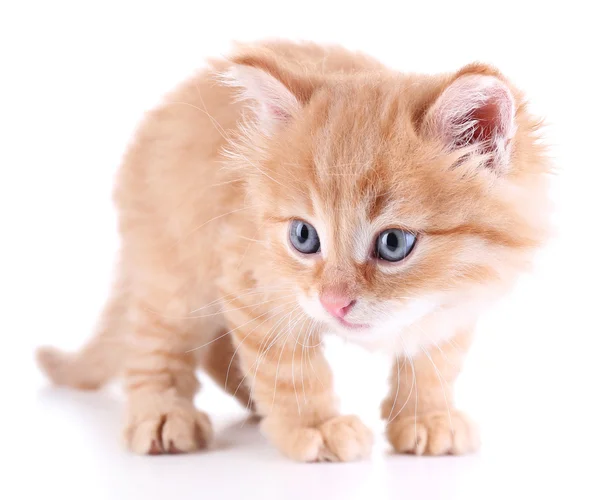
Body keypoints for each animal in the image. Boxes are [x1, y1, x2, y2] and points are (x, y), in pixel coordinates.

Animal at [35, 39, 552, 460]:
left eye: (394, 243)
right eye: (304, 237)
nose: (333, 302)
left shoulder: (455, 301)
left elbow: (435, 360)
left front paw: (427, 416)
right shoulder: (250, 279)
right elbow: (288, 371)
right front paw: (316, 426)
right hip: (174, 269)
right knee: (153, 344)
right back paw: (162, 415)